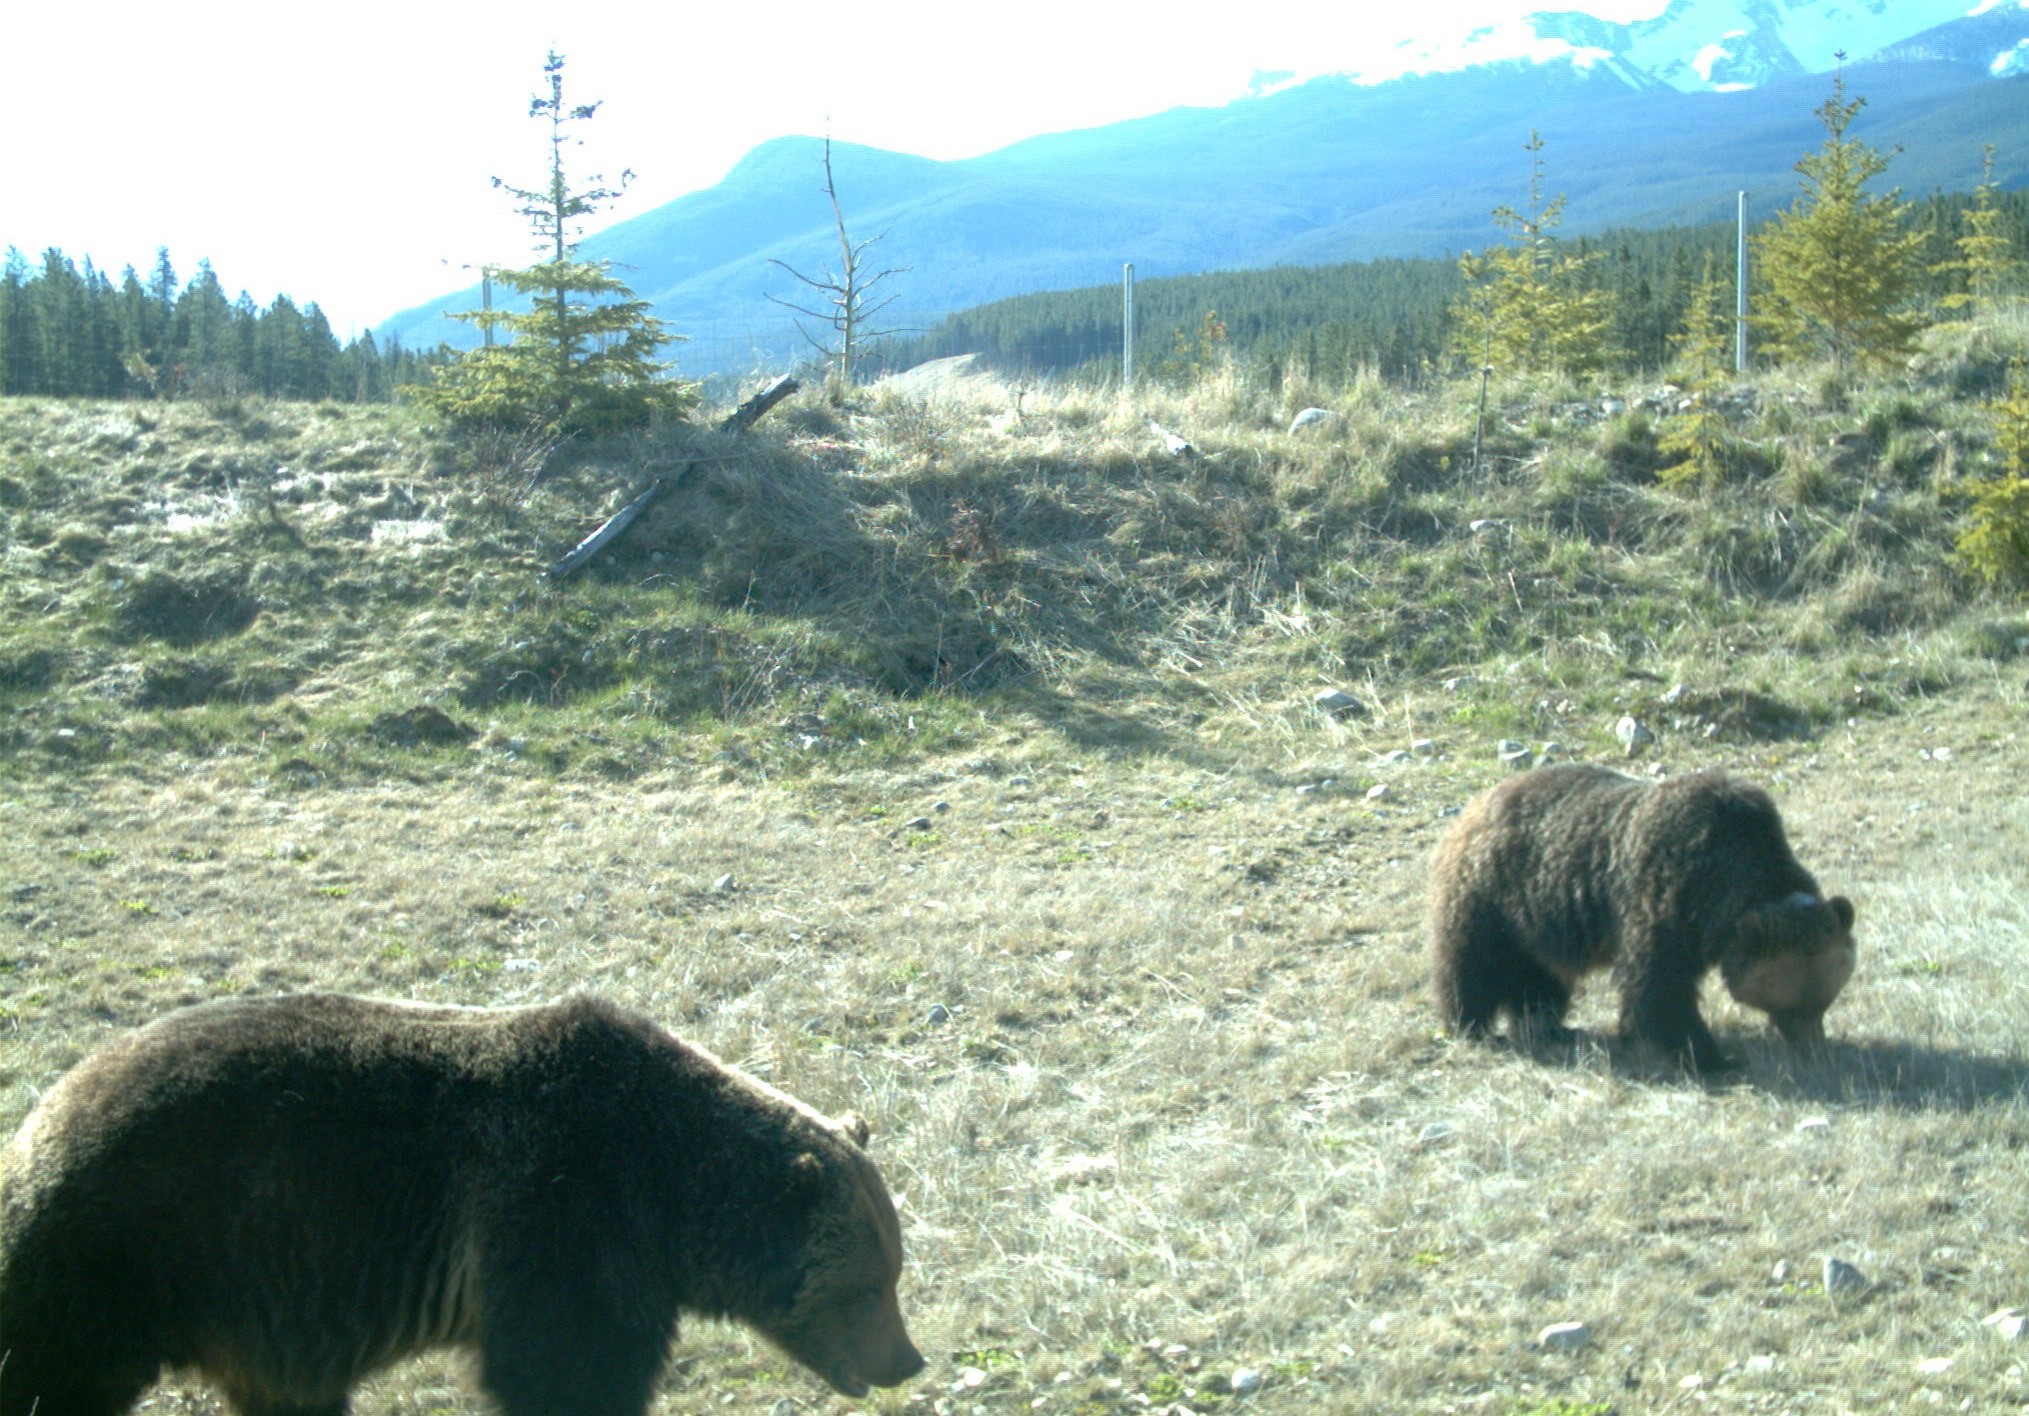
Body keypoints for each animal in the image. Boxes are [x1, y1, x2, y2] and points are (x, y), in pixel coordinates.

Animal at [1, 985, 929, 1411]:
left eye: (894, 1272)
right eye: (868, 1285)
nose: (908, 1360)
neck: (667, 1193)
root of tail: (39, 1120)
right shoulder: (559, 1215)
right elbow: (565, 1371)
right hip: (123, 1254)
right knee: (51, 1377)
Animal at [1428, 762, 1858, 1071]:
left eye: (1824, 1000)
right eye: (1790, 1006)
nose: (1813, 1048)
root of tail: (1473, 806)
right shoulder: (1664, 900)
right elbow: (1658, 985)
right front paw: (1711, 1057)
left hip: (1538, 920)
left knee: (1541, 978)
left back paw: (1550, 1027)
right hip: (1491, 900)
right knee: (1474, 967)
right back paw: (1474, 1027)